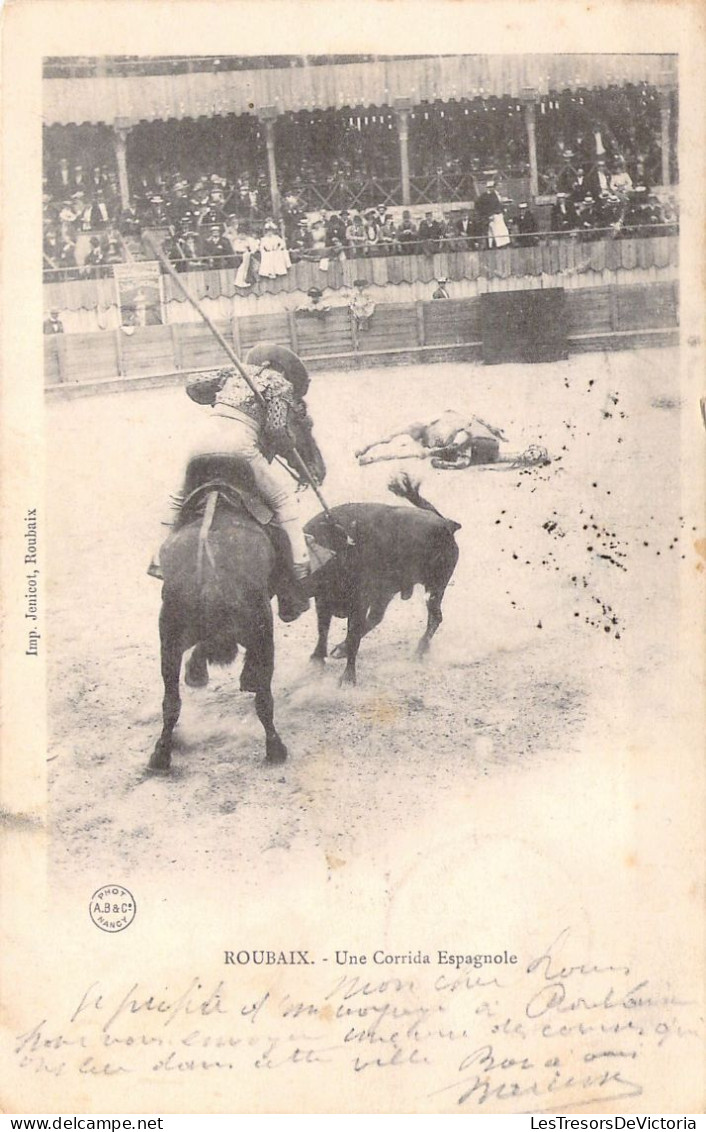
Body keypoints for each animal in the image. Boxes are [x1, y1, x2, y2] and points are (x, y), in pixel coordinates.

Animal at [150, 416, 325, 778]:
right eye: (303, 421)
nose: (317, 469)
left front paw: (198, 670)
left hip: (168, 639)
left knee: (171, 701)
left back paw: (160, 754)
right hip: (261, 629)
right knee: (264, 698)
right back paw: (275, 748)